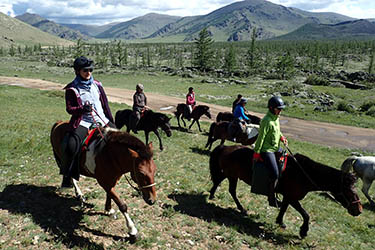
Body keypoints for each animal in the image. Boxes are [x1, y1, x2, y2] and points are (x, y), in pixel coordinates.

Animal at [210, 145, 362, 238]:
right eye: (349, 191)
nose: (359, 210)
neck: (303, 173)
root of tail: (226, 147)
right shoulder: (293, 198)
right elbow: (306, 214)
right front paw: (303, 231)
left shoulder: (288, 197)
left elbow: (283, 208)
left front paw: (280, 222)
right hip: (232, 176)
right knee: (231, 190)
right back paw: (241, 208)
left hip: (230, 174)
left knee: (218, 181)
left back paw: (212, 195)